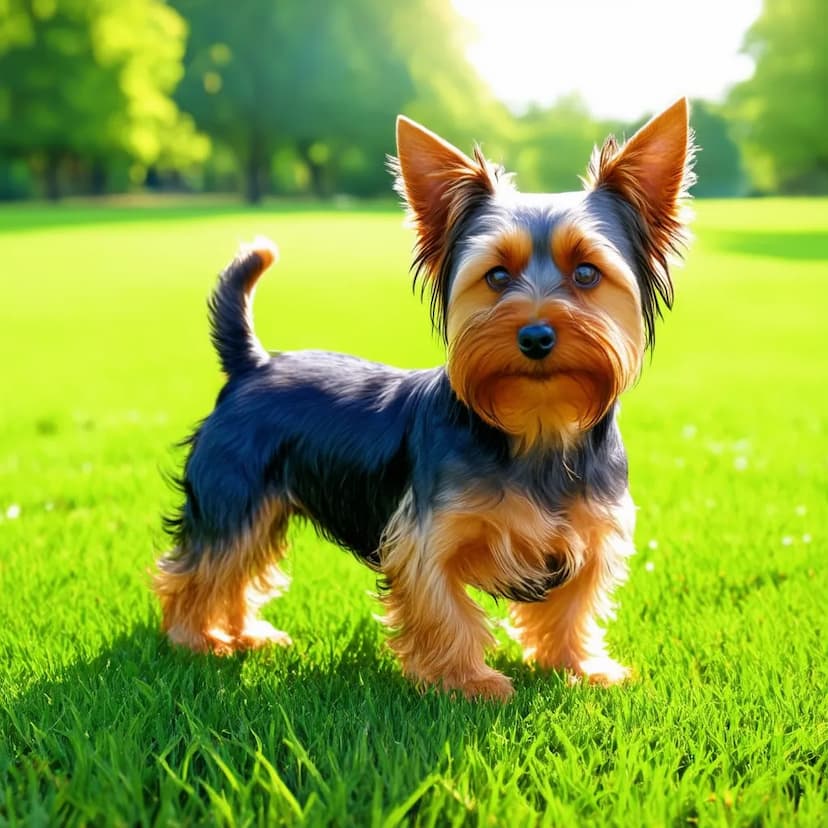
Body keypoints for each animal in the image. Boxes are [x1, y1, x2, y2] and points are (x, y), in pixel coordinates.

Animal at [154, 100, 692, 700]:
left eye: (585, 273)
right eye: (496, 276)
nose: (535, 336)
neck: (537, 423)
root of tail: (253, 363)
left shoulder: (592, 530)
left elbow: (573, 604)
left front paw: (578, 667)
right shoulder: (424, 531)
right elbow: (444, 606)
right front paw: (468, 683)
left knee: (239, 565)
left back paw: (245, 634)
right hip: (234, 487)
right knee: (207, 562)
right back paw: (197, 639)